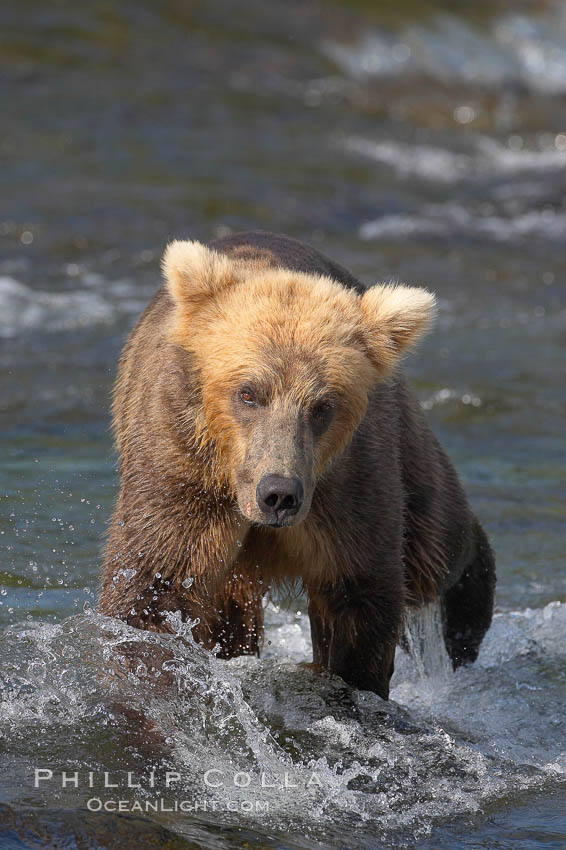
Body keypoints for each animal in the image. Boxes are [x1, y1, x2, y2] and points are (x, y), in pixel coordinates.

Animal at [101, 227, 496, 696]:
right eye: (248, 392)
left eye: (323, 406)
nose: (278, 494)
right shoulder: (182, 462)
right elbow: (154, 582)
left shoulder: (346, 485)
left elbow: (359, 593)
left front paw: (350, 681)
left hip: (402, 441)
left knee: (436, 547)